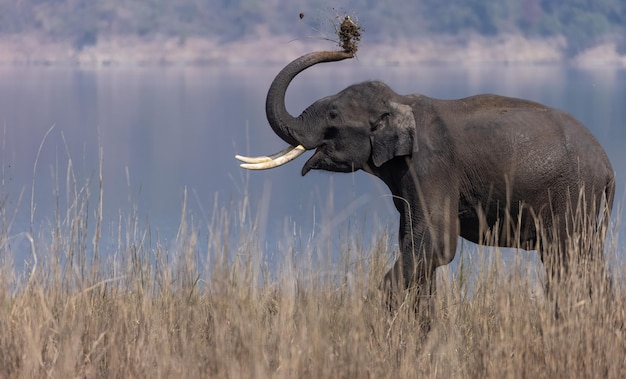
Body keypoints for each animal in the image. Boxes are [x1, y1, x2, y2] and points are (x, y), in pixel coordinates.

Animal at [236, 50, 612, 314]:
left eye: (333, 116)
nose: (345, 49)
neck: (400, 102)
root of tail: (608, 168)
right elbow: (412, 243)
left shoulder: (431, 166)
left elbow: (435, 244)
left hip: (574, 193)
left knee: (569, 259)